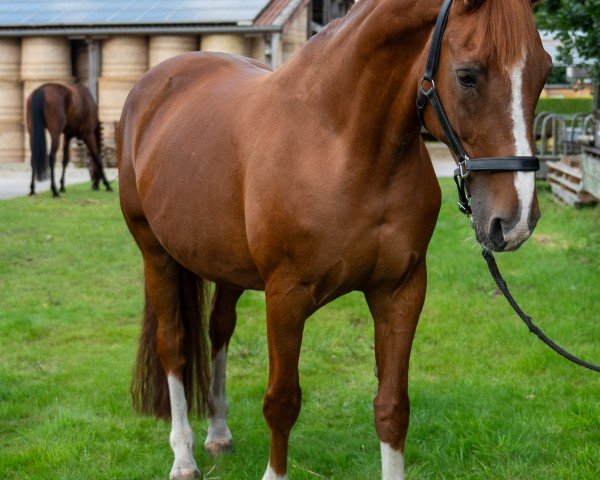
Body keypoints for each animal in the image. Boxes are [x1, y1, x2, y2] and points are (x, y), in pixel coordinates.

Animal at [117, 0, 548, 480]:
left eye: (544, 72)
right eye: (468, 75)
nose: (516, 221)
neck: (341, 145)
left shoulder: (400, 292)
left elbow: (392, 408)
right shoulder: (285, 298)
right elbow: (282, 403)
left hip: (225, 266)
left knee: (219, 330)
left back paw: (218, 434)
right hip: (155, 254)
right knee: (174, 345)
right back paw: (184, 456)